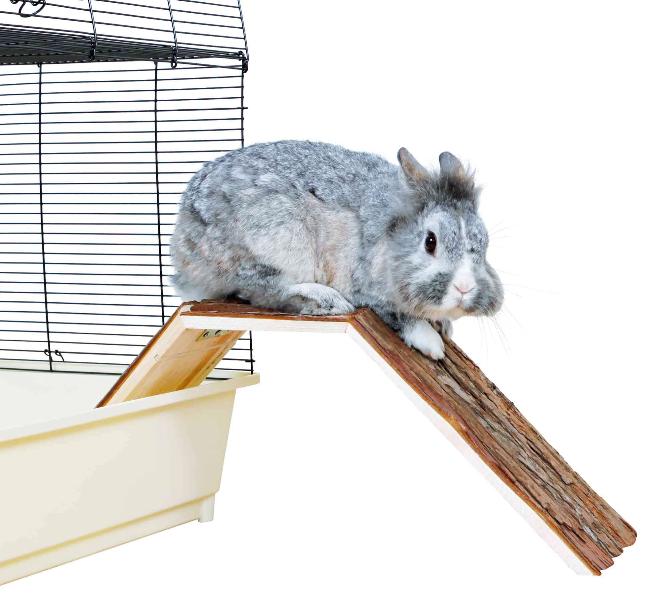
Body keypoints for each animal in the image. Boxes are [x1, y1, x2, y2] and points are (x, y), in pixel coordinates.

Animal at [171, 140, 503, 359]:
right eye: (430, 241)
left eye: (484, 243)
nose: (464, 288)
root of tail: (184, 244)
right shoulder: (366, 290)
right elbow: (396, 314)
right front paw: (431, 343)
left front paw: (443, 326)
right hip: (279, 238)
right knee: (264, 290)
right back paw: (326, 300)